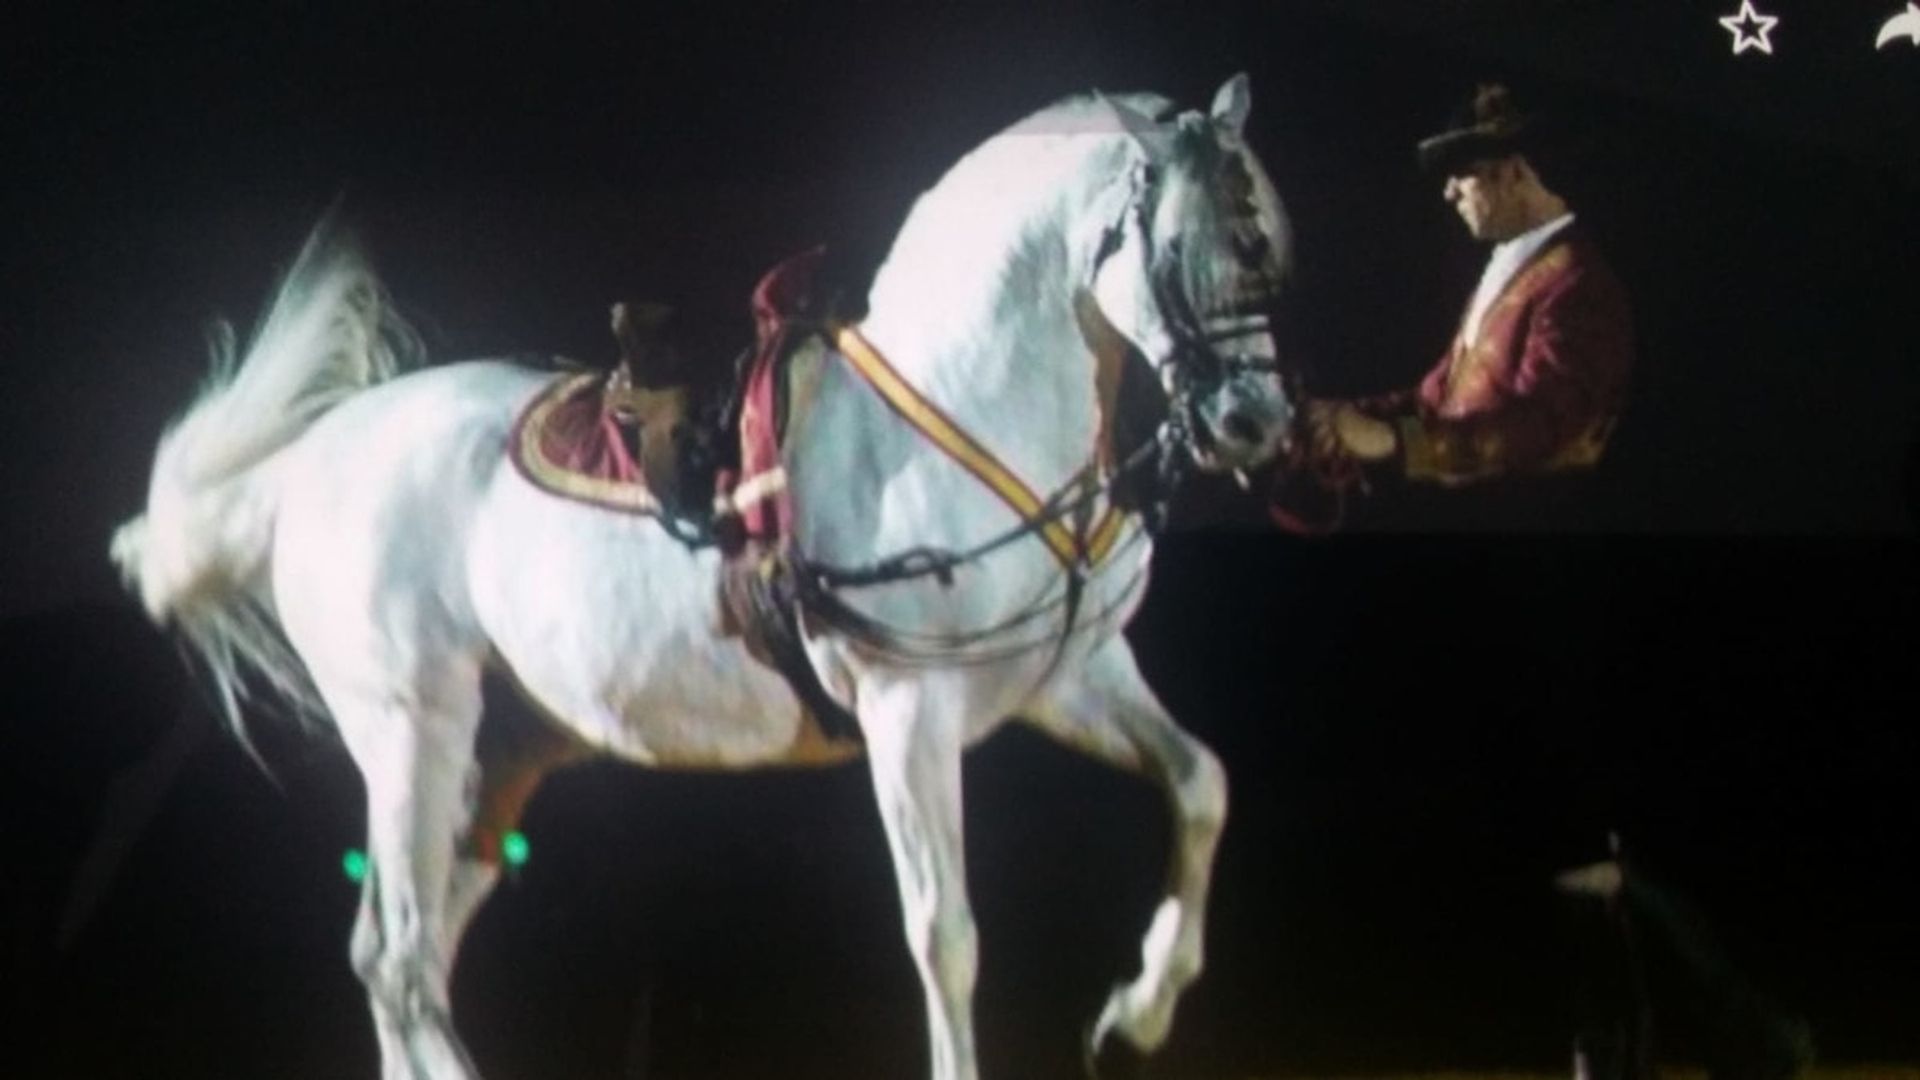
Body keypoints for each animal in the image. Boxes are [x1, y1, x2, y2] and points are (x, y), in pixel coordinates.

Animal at [112, 71, 1297, 1068]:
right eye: (1198, 246)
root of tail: (306, 463)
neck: (956, 409)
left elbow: (1202, 784)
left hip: (502, 756)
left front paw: (1137, 1015)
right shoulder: (908, 714)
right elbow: (945, 936)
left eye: (1271, 250)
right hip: (412, 732)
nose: (1256, 424)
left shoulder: (1068, 679)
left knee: (399, 960)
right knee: (402, 966)